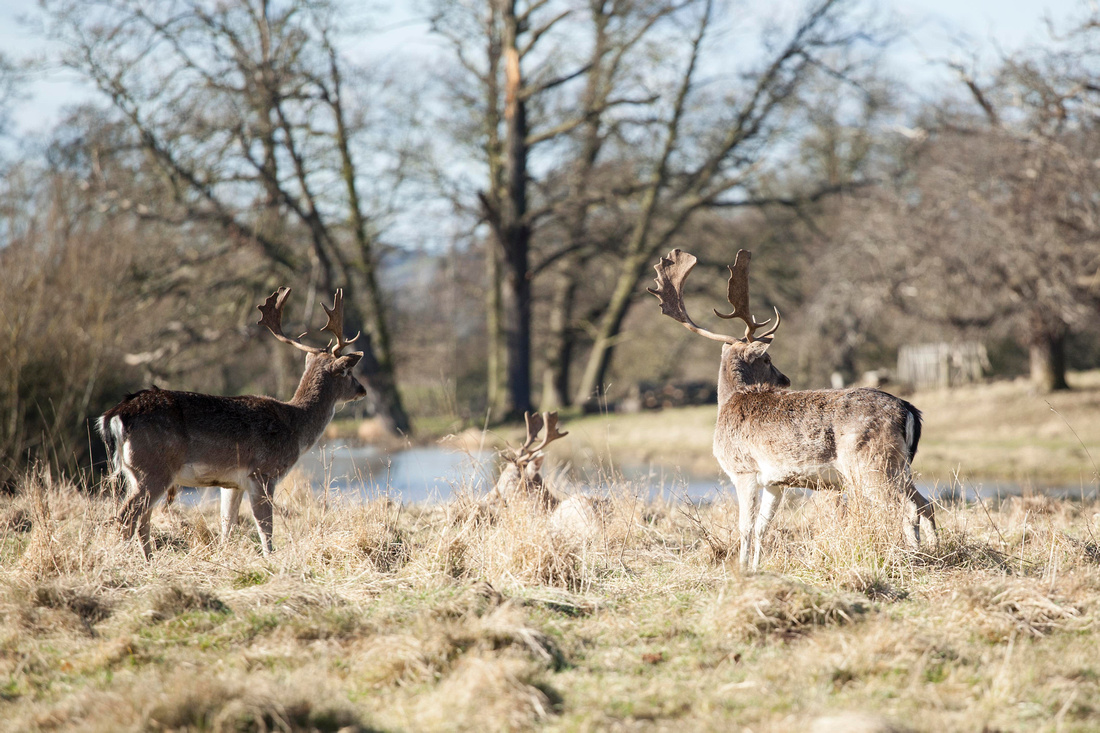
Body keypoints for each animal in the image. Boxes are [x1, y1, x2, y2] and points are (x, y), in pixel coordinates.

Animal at [98, 286, 367, 554]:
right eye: (348, 371)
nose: (362, 389)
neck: (295, 427)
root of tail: (115, 415)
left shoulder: (232, 483)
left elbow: (227, 525)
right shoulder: (263, 473)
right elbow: (265, 528)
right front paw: (270, 558)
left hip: (134, 473)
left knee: (141, 520)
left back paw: (148, 559)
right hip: (154, 468)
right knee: (127, 517)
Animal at [646, 248, 932, 567]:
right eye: (768, 359)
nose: (785, 379)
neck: (729, 404)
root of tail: (908, 409)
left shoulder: (743, 469)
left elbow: (745, 526)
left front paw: (740, 567)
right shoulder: (775, 481)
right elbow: (762, 526)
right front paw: (756, 567)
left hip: (871, 462)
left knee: (908, 509)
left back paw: (914, 557)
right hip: (898, 465)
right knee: (925, 504)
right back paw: (932, 550)